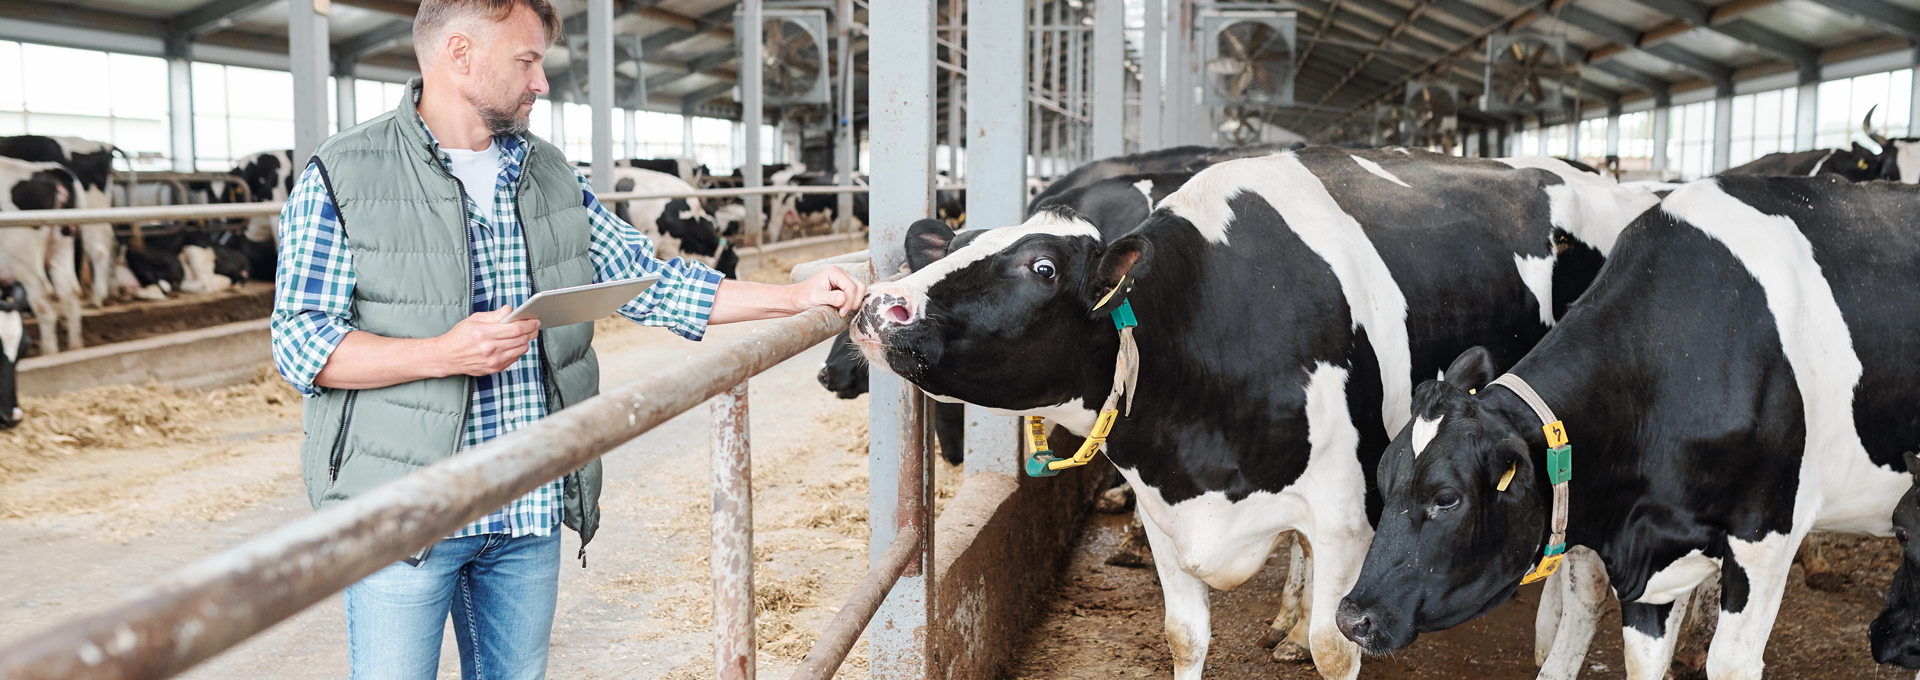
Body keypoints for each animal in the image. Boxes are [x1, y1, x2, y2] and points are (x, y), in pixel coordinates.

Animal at [848, 148, 1658, 680]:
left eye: (1042, 268)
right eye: (953, 244)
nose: (877, 304)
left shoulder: (1344, 516)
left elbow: (1337, 647)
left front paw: (1311, 637)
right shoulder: (1161, 509)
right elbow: (1183, 636)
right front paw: (1279, 627)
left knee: (1586, 582)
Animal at [1336, 176, 1920, 680]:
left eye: (1447, 498)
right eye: (1383, 480)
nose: (1351, 617)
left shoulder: (1768, 533)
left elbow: (1731, 662)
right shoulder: (1651, 552)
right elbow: (1642, 660)